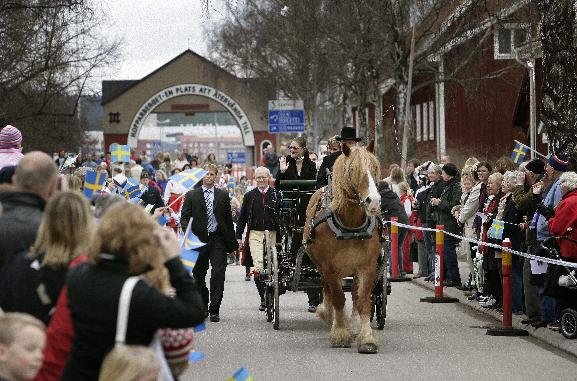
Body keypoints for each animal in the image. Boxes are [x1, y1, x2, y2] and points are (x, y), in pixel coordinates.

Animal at [302, 143, 382, 354]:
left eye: (375, 168)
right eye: (353, 170)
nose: (374, 201)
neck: (350, 226)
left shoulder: (367, 266)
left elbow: (363, 300)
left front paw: (366, 338)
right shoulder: (329, 267)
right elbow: (338, 298)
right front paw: (339, 333)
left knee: (353, 293)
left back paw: (353, 324)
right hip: (323, 267)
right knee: (329, 289)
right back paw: (330, 317)